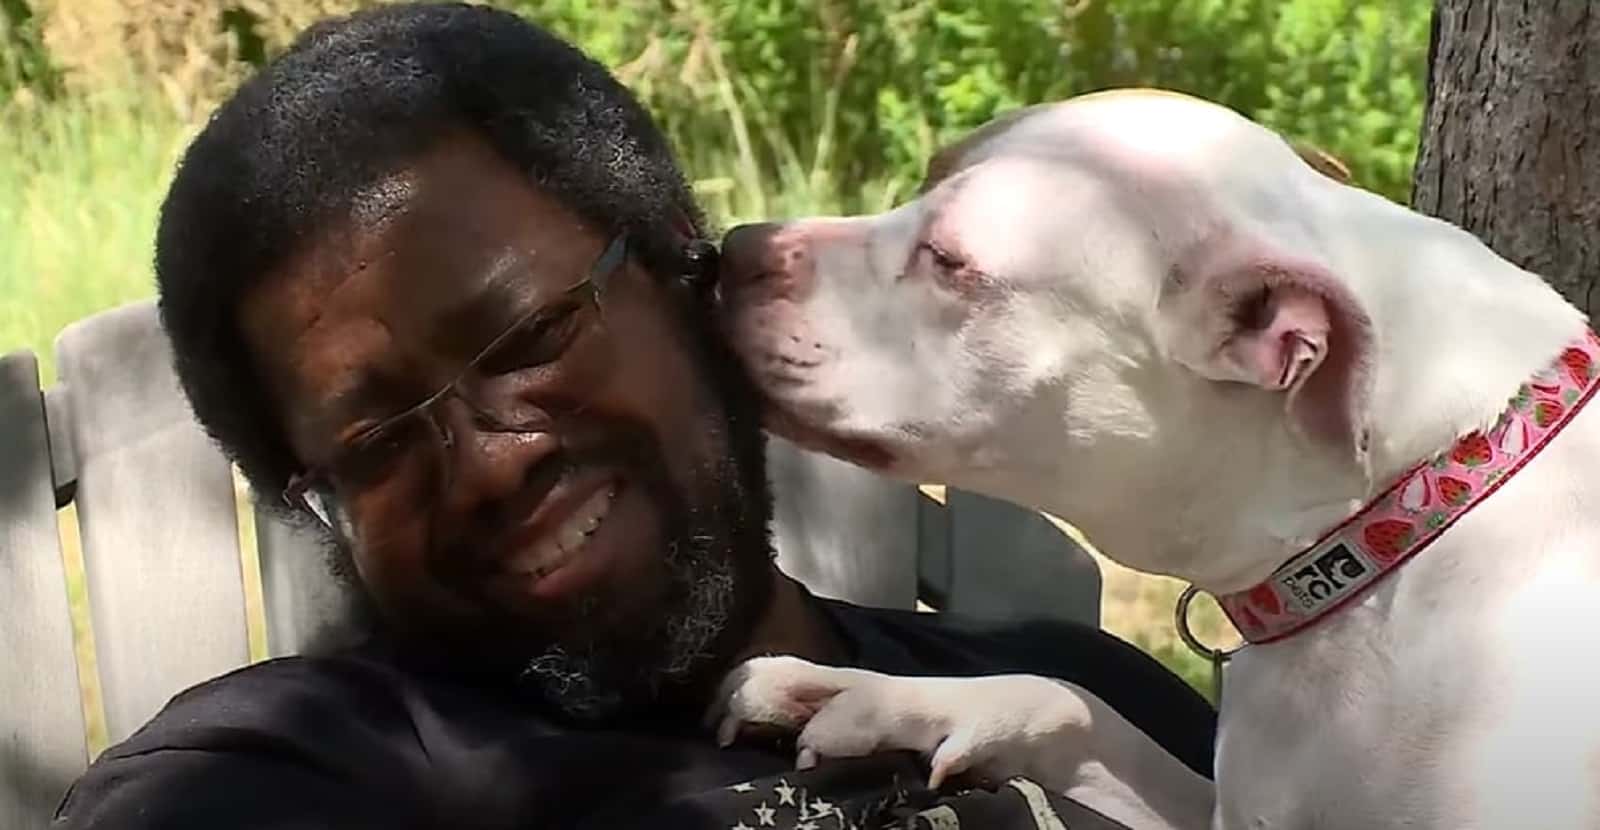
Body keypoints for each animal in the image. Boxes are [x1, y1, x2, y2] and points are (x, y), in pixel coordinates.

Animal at [707, 87, 1600, 825]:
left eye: (948, 261)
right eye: (925, 178)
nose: (734, 248)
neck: (1407, 516)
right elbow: (1071, 698)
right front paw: (871, 696)